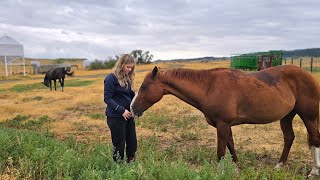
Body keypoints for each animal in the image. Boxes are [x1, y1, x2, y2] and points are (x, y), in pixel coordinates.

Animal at [130, 65, 320, 177]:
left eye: (144, 87)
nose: (132, 108)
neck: (209, 87)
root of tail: (309, 76)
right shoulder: (225, 125)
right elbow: (231, 146)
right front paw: (235, 168)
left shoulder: (222, 124)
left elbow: (221, 150)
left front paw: (221, 172)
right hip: (287, 116)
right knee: (289, 138)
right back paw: (279, 165)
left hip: (308, 117)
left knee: (315, 139)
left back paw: (314, 171)